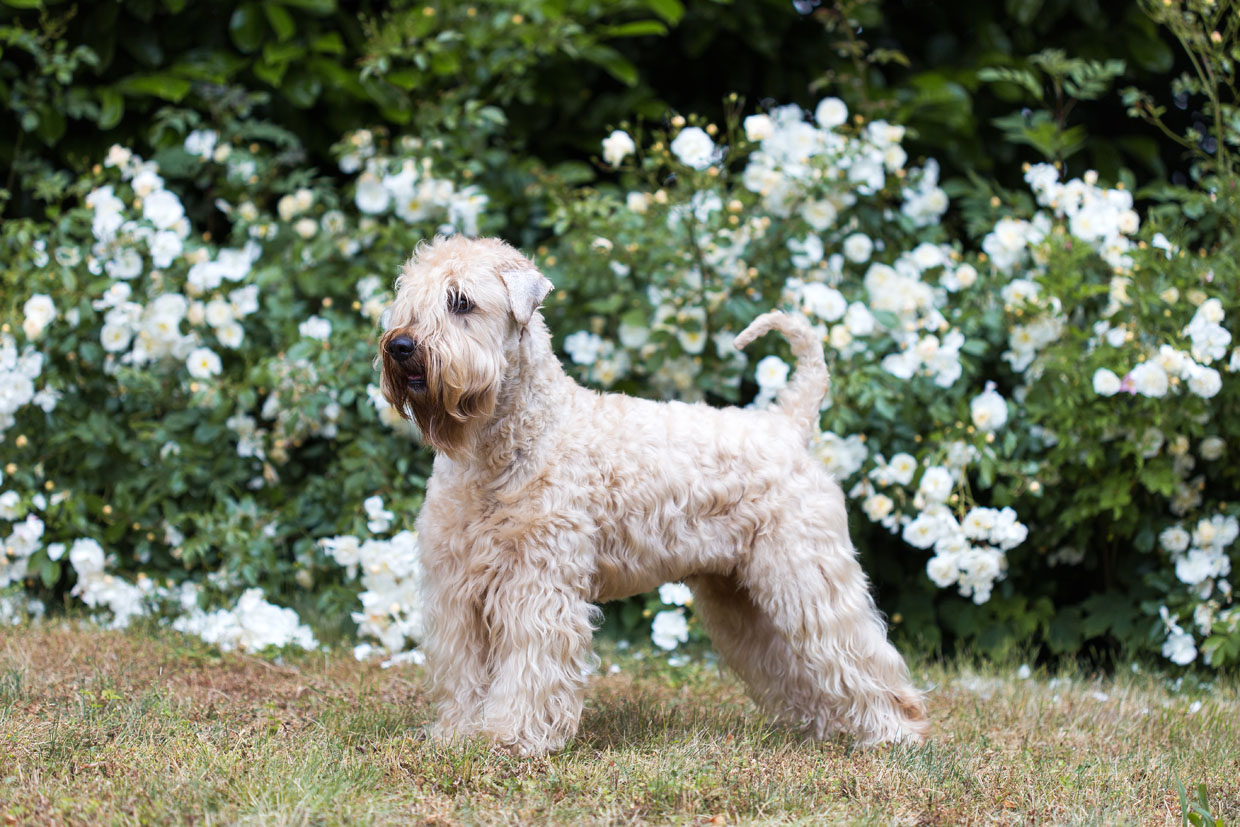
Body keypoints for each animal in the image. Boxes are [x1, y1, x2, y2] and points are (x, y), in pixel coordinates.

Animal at [376, 233, 932, 758]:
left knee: (860, 654)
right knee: (796, 666)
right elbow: (463, 674)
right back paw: (832, 729)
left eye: (461, 302)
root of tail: (789, 424)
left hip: (807, 577)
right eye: (407, 299)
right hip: (744, 596)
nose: (400, 346)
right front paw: (456, 736)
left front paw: (510, 737)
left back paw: (895, 733)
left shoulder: (538, 583)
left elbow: (529, 666)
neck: (499, 446)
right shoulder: (456, 587)